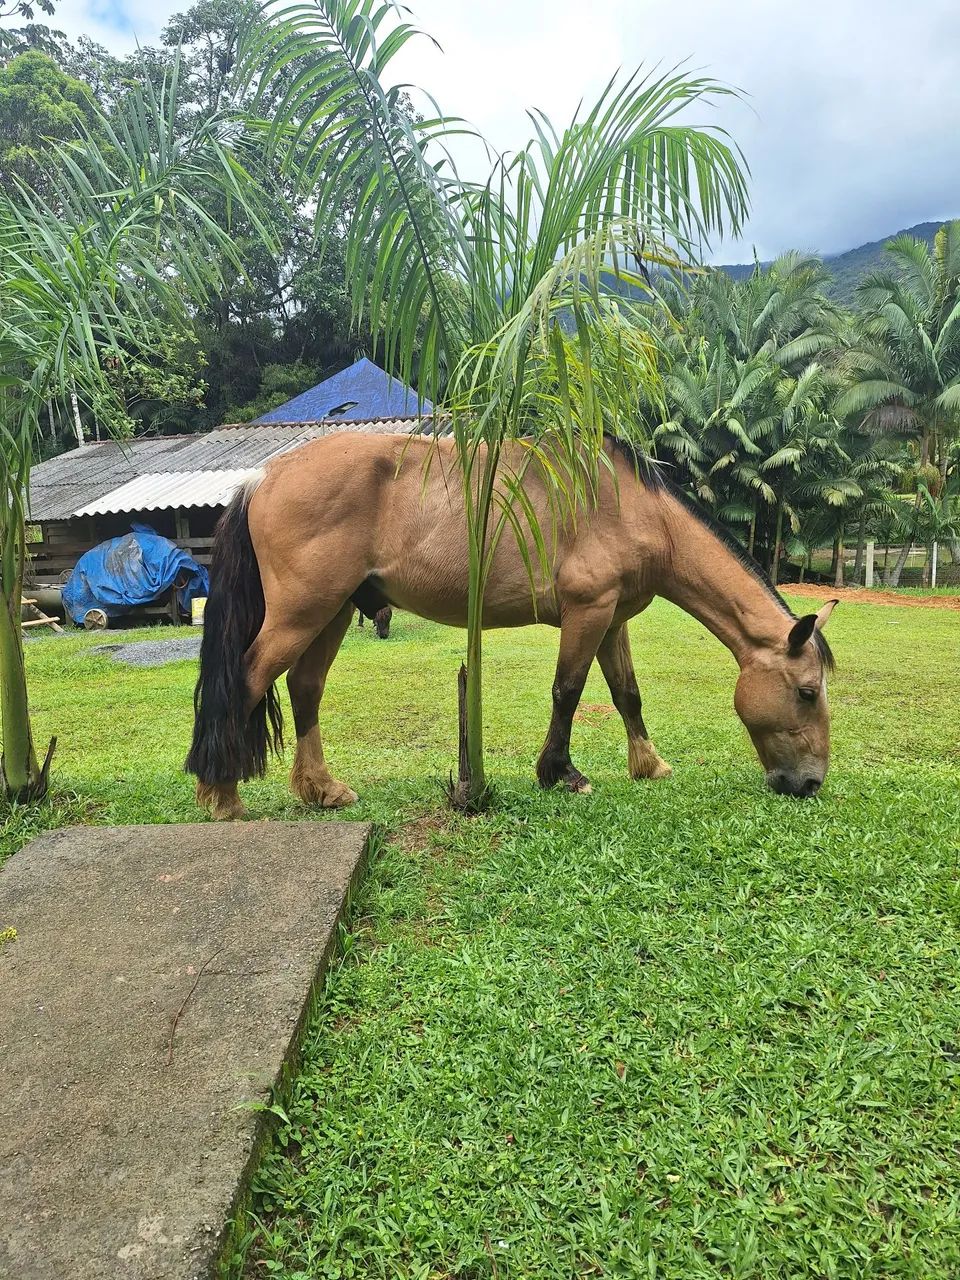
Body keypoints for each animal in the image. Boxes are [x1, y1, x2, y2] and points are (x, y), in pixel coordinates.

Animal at [186, 432, 837, 820]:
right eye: (807, 692)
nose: (810, 784)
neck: (633, 509)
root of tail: (263, 478)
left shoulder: (612, 620)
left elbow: (626, 694)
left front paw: (648, 765)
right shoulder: (587, 612)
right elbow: (568, 691)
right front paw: (561, 772)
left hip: (335, 611)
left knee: (305, 689)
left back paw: (322, 789)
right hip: (303, 613)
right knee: (246, 681)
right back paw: (222, 796)